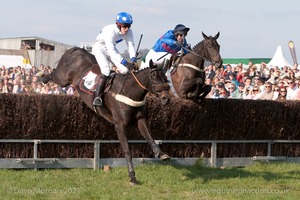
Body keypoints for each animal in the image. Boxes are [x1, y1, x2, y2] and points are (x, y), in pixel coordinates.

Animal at [41, 47, 171, 184]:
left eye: (166, 78)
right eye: (154, 78)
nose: (166, 98)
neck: (129, 91)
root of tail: (75, 49)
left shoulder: (140, 119)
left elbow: (149, 136)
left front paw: (161, 153)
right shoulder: (119, 125)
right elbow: (127, 150)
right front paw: (132, 176)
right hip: (63, 79)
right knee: (54, 73)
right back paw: (43, 79)